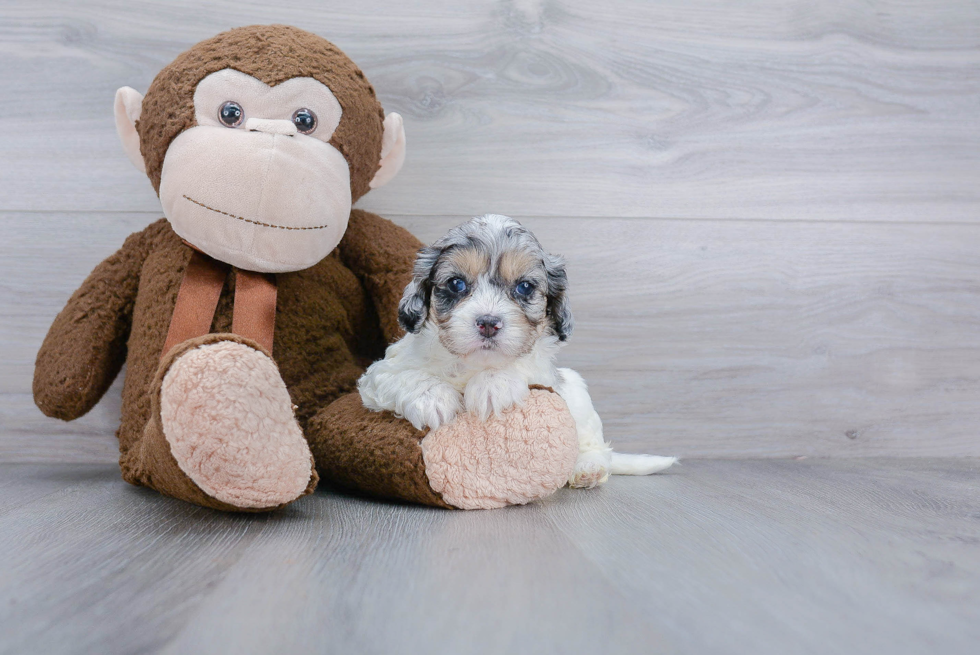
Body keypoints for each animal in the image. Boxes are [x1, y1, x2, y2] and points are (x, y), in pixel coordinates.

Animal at [356, 215, 676, 486]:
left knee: (594, 444)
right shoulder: (380, 372)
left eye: (524, 287)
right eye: (456, 283)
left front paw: (491, 386)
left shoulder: (544, 376)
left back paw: (588, 467)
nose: (488, 323)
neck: (474, 364)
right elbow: (402, 376)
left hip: (577, 392)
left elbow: (517, 369)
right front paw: (432, 398)